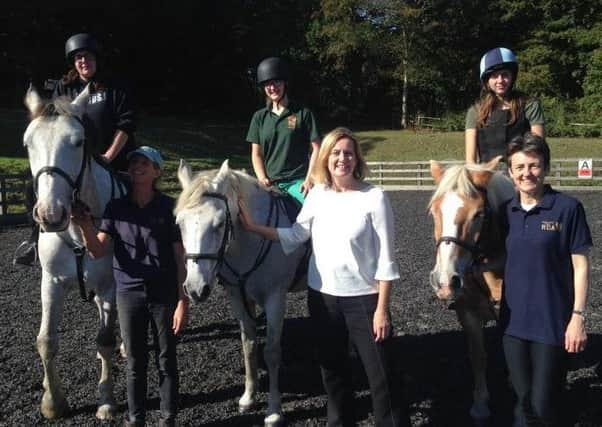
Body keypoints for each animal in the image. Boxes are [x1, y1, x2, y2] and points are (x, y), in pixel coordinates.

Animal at [23, 87, 125, 422]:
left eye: (79, 142)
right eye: (28, 144)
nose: (51, 214)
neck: (81, 233)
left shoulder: (110, 286)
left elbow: (105, 341)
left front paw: (106, 400)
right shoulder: (51, 282)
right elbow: (46, 341)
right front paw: (53, 401)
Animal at [173, 159, 304, 426]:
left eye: (220, 223)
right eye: (180, 224)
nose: (195, 288)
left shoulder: (276, 297)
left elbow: (271, 351)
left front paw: (274, 410)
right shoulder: (237, 296)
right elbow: (248, 345)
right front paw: (248, 397)